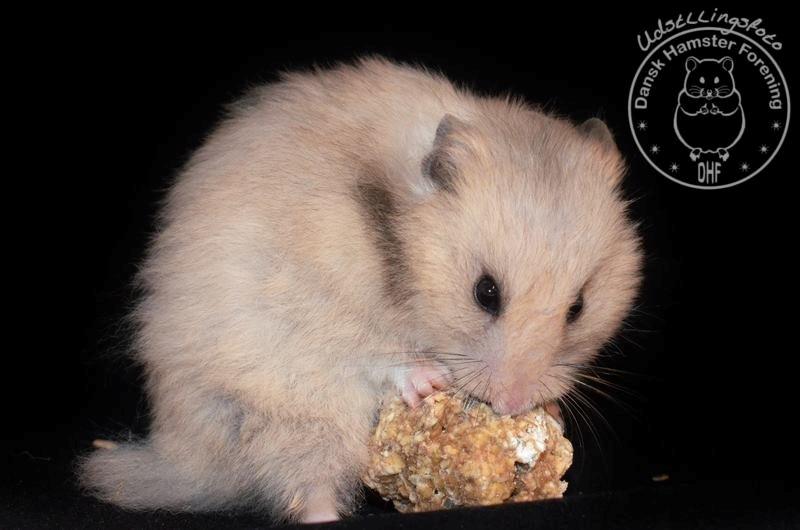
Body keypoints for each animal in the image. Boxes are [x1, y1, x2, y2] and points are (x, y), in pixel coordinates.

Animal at [79, 57, 643, 524]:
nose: (510, 405)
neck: (403, 248)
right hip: (294, 406)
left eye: (578, 307)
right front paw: (426, 381)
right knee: (307, 484)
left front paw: (552, 411)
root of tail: (185, 455)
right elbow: (372, 346)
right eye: (486, 292)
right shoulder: (326, 295)